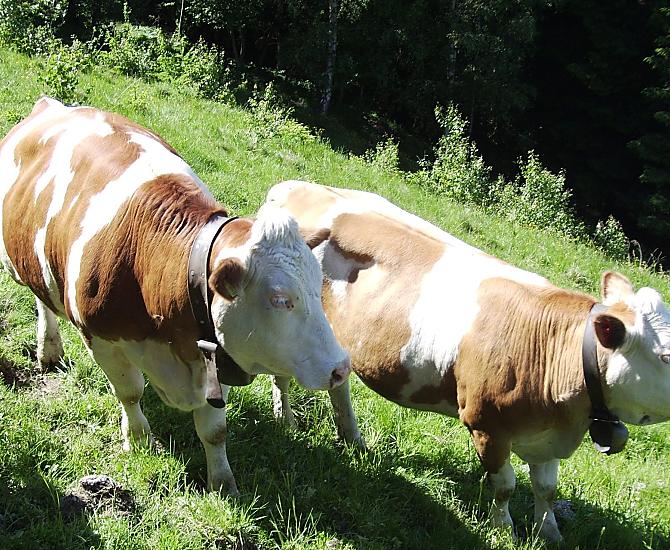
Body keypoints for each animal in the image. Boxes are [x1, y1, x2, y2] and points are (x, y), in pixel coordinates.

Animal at [0, 99, 351, 495]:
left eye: (318, 287)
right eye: (280, 299)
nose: (341, 368)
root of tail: (52, 104)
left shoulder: (213, 350)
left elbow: (215, 430)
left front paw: (223, 482)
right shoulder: (102, 339)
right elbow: (130, 392)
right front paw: (139, 441)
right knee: (42, 298)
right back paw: (50, 348)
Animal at [265, 180, 670, 542]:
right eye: (666, 355)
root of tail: (294, 187)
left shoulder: (548, 433)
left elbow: (547, 489)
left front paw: (549, 532)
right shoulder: (486, 423)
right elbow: (505, 485)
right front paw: (504, 529)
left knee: (339, 381)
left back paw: (352, 437)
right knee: (284, 375)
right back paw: (286, 419)